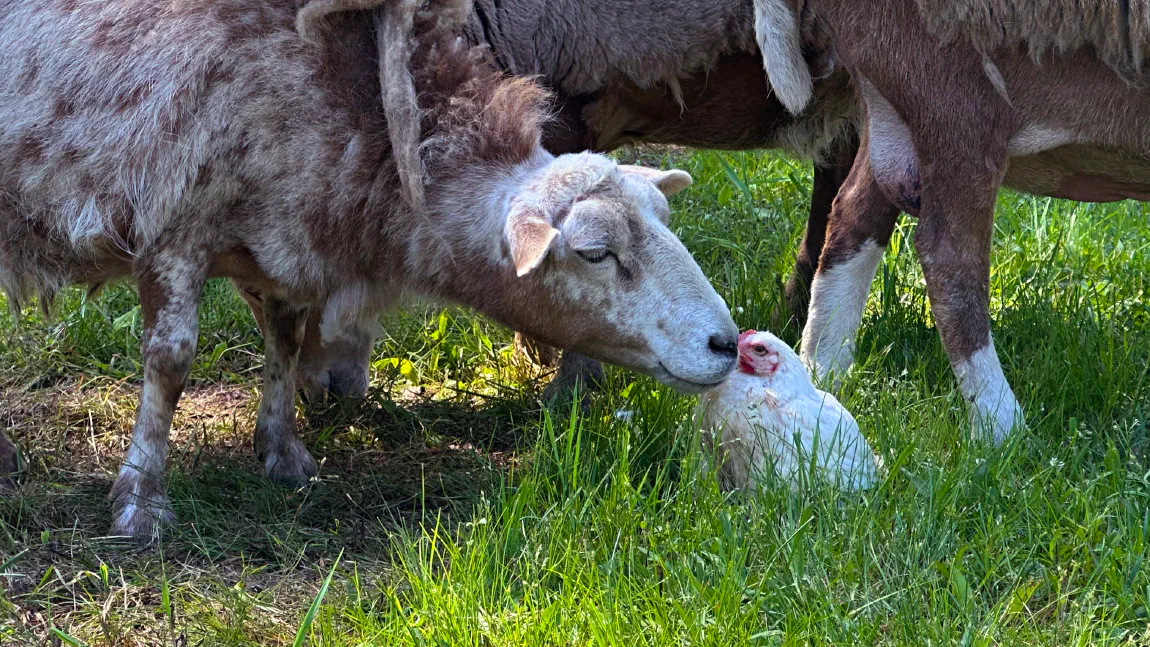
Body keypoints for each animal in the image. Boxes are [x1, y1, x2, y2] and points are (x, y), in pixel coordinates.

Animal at [0, 0, 739, 538]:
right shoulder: (174, 225)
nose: (726, 344)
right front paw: (142, 500)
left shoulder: (286, 239)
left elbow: (285, 343)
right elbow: (170, 363)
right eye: (595, 252)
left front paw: (283, 453)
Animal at [753, 0, 1150, 441]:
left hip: (891, 98)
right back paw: (1003, 429)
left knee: (852, 214)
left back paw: (825, 372)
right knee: (947, 255)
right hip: (953, 92)